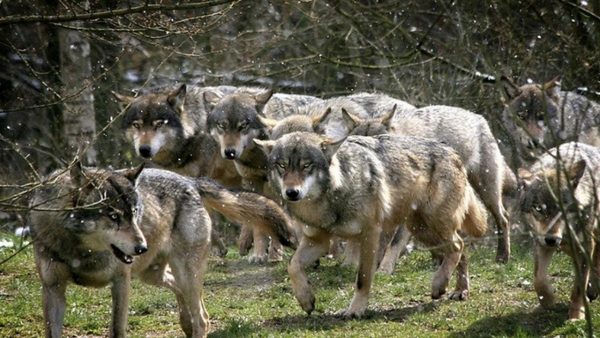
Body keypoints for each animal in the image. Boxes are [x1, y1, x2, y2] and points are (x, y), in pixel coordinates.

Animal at [28, 162, 298, 336]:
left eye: (134, 213)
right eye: (113, 216)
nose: (141, 247)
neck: (79, 250)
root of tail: (190, 181)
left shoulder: (121, 281)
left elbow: (117, 329)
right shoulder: (52, 288)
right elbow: (52, 331)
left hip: (180, 272)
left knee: (202, 317)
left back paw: (194, 323)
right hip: (152, 275)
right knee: (188, 298)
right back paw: (185, 322)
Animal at [202, 87, 322, 262]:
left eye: (243, 125)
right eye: (222, 126)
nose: (230, 152)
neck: (257, 157)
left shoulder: (280, 188)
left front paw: (275, 253)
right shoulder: (252, 181)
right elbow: (259, 220)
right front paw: (258, 254)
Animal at [254, 131, 488, 316]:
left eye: (306, 166)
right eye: (282, 166)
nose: (291, 193)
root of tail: (453, 151)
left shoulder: (369, 235)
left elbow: (362, 279)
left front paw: (354, 311)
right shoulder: (318, 241)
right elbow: (292, 265)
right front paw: (306, 299)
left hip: (433, 225)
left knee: (458, 246)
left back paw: (441, 284)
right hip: (423, 231)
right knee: (461, 250)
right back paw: (458, 290)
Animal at [342, 104, 516, 268]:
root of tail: (477, 117)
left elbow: (393, 243)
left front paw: (384, 270)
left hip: (486, 193)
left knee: (504, 218)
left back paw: (502, 257)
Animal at [516, 141, 600, 320]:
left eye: (561, 208)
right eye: (538, 208)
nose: (551, 239)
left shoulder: (584, 244)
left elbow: (579, 285)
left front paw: (576, 315)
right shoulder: (540, 241)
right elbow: (538, 279)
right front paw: (548, 301)